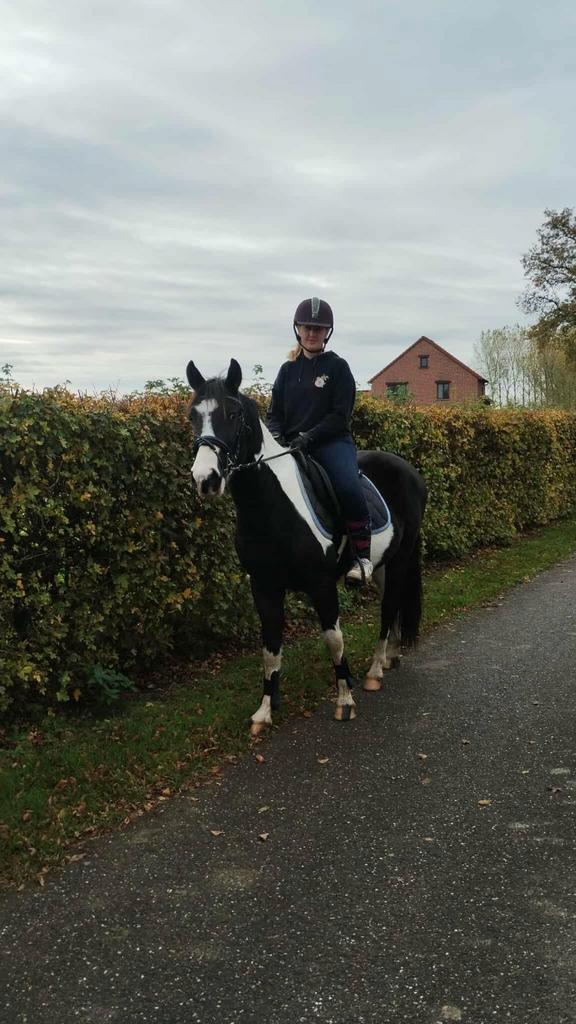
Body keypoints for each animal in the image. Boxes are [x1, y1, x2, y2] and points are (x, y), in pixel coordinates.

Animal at [186, 358, 427, 735]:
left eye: (233, 413)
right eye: (193, 415)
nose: (205, 480)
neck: (272, 509)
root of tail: (410, 471)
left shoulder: (321, 584)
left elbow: (334, 639)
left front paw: (345, 700)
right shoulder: (264, 587)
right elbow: (270, 649)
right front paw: (264, 712)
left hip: (401, 559)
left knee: (389, 609)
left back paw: (375, 671)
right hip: (384, 565)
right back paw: (391, 656)